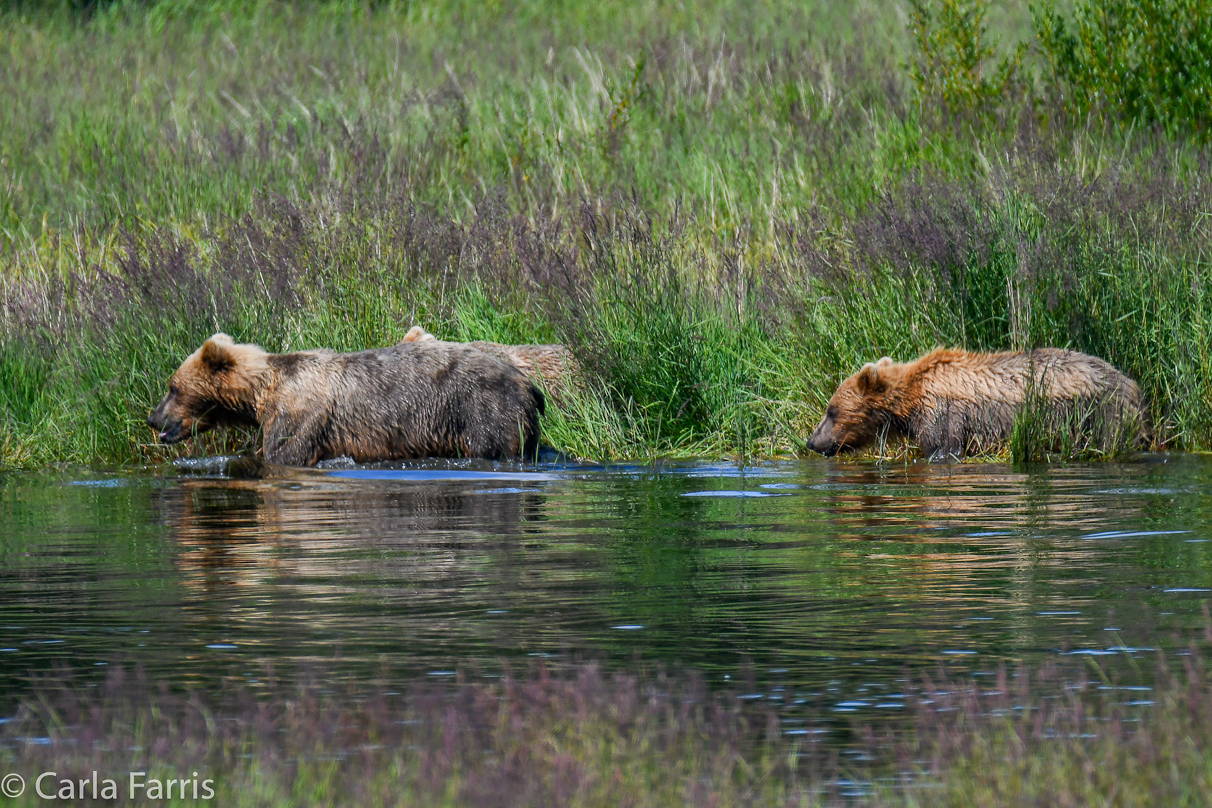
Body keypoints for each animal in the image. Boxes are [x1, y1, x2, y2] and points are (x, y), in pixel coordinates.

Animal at [149, 329, 547, 467]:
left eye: (173, 387)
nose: (153, 419)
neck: (262, 393)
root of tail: (529, 384)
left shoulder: (298, 417)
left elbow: (283, 455)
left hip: (482, 410)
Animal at [809, 348, 1148, 460]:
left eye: (831, 411)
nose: (811, 442)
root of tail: (1130, 382)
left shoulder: (943, 414)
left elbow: (943, 449)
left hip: (1098, 412)